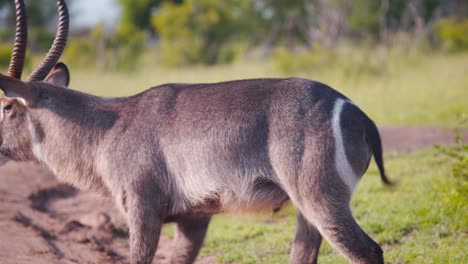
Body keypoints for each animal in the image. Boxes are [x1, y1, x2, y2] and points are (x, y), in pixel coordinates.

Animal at [0, 0, 392, 264]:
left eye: (6, 107)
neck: (107, 128)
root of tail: (355, 110)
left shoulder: (143, 207)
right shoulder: (194, 217)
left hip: (321, 200)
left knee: (368, 251)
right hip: (305, 209)